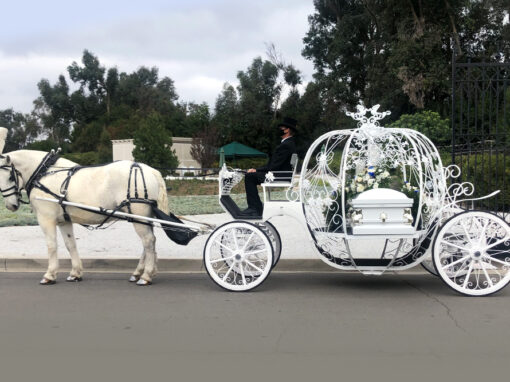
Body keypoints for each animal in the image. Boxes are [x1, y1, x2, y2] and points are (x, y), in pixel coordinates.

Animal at [0, 127, 171, 286]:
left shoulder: (46, 219)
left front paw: (50, 274)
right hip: (142, 217)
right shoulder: (64, 221)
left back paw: (146, 275)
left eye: (10, 177)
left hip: (138, 215)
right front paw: (75, 273)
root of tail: (150, 170)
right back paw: (138, 272)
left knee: (148, 241)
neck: (44, 172)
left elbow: (52, 245)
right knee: (148, 242)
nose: (12, 205)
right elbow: (70, 245)